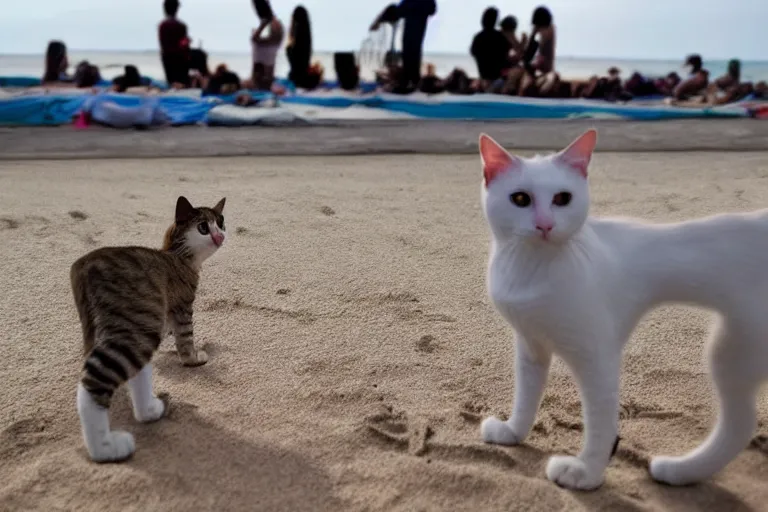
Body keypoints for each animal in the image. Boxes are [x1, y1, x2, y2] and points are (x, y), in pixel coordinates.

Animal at [70, 194, 226, 462]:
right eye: (204, 228)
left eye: (222, 222)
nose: (220, 236)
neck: (177, 255)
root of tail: (83, 266)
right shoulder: (183, 308)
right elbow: (186, 339)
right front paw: (193, 358)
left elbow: (143, 373)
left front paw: (148, 407)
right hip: (134, 328)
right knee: (91, 384)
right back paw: (105, 448)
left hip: (136, 328)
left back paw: (147, 412)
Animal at [476, 130, 764, 490]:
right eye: (519, 199)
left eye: (562, 198)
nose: (544, 224)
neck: (532, 268)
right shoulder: (531, 345)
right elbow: (526, 396)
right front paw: (513, 431)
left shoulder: (597, 358)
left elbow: (600, 424)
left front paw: (586, 473)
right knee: (742, 424)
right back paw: (682, 472)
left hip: (732, 353)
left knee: (740, 423)